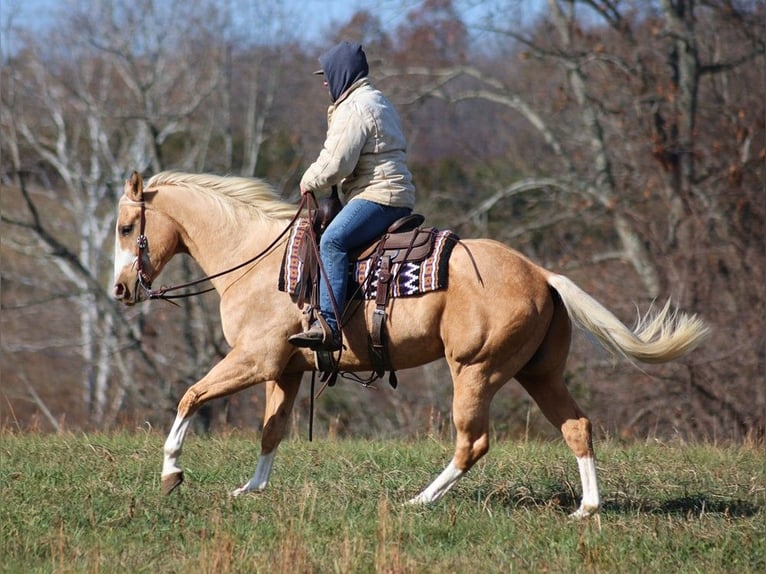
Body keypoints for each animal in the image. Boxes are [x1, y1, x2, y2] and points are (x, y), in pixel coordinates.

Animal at [111, 169, 712, 520]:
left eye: (124, 227)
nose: (119, 289)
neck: (259, 261)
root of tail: (541, 274)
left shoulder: (254, 361)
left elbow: (191, 396)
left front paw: (171, 472)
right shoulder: (285, 369)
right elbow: (271, 430)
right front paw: (250, 489)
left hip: (474, 371)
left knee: (473, 443)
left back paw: (420, 499)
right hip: (538, 374)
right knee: (577, 426)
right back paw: (586, 509)